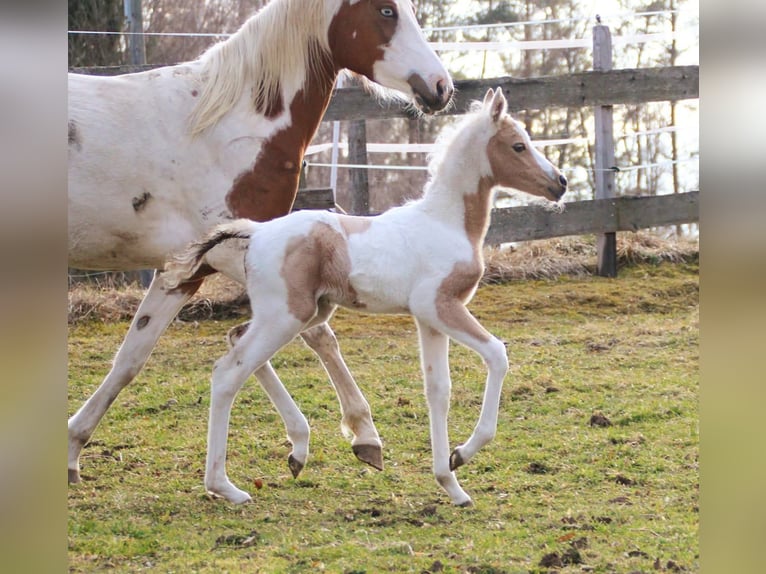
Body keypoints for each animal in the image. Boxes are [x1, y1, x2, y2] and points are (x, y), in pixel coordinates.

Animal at [68, 0, 453, 485]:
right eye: (386, 11)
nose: (441, 87)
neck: (227, 124)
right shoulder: (226, 252)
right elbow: (308, 333)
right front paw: (359, 435)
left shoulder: (189, 268)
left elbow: (133, 358)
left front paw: (73, 448)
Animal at [163, 87, 568, 506]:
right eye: (518, 145)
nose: (561, 182)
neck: (445, 221)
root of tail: (256, 233)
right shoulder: (440, 306)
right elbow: (497, 355)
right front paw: (463, 454)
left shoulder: (427, 319)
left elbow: (438, 390)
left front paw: (451, 482)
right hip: (285, 317)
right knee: (228, 372)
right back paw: (226, 486)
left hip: (304, 312)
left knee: (239, 342)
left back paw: (300, 451)